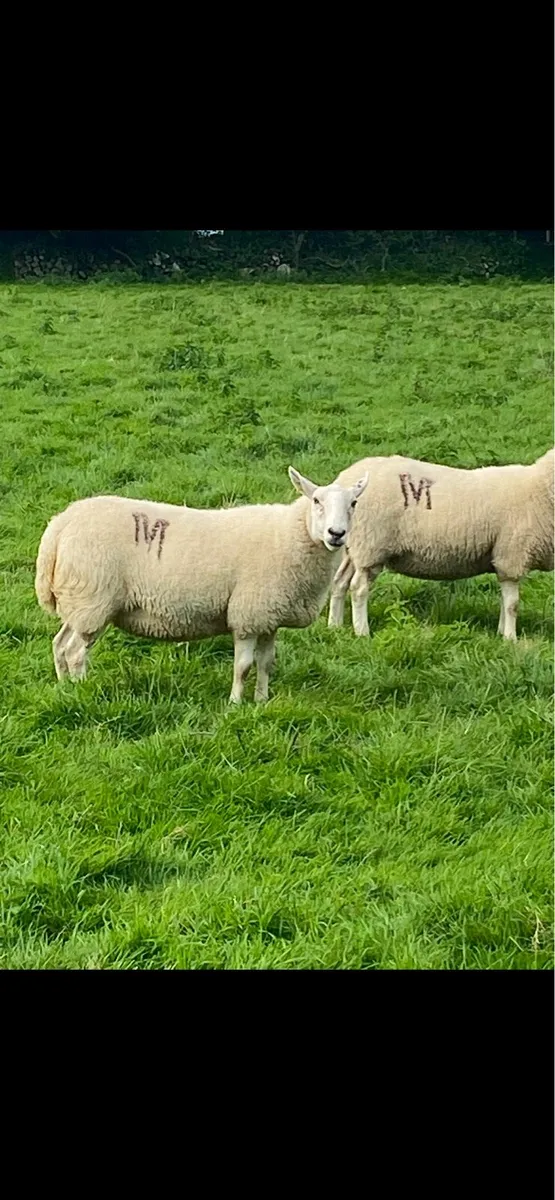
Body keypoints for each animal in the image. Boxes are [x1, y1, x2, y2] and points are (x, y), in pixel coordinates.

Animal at [35, 467, 368, 703]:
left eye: (354, 503)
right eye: (316, 501)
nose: (336, 534)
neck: (289, 535)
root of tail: (59, 525)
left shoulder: (268, 617)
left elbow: (265, 664)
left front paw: (262, 701)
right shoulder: (247, 615)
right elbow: (243, 666)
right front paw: (235, 704)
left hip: (79, 602)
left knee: (60, 644)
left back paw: (64, 688)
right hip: (93, 599)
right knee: (76, 652)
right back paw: (83, 690)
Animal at [327, 449, 554, 641]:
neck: (539, 488)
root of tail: (345, 479)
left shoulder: (503, 558)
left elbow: (504, 601)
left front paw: (501, 632)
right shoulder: (512, 555)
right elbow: (512, 605)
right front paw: (510, 639)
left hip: (351, 548)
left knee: (339, 582)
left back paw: (334, 626)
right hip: (371, 546)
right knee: (358, 588)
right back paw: (362, 632)